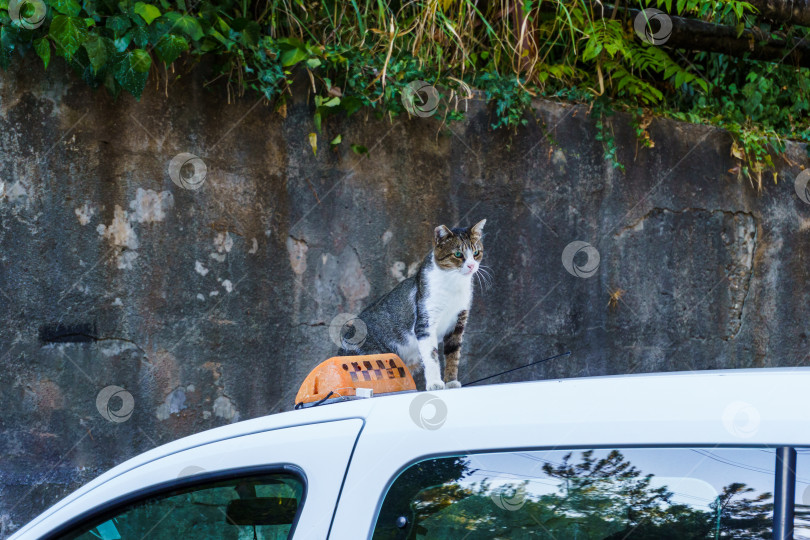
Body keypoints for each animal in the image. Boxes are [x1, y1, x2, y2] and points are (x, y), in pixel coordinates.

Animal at [336, 219, 486, 392]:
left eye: (476, 253)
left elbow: (453, 355)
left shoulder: (458, 323)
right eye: (458, 254)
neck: (454, 284)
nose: (471, 266)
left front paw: (451, 382)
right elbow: (432, 356)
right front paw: (435, 383)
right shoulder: (425, 323)